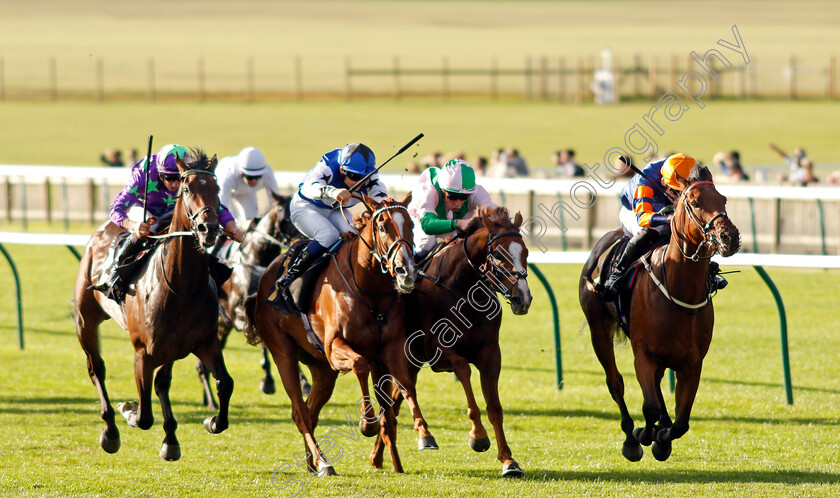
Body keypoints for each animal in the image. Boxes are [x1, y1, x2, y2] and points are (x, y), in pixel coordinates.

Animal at [74, 150, 233, 462]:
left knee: (162, 381)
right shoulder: (142, 352)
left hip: (170, 348)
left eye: (217, 189)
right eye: (187, 189)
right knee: (96, 369)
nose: (209, 229)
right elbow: (144, 415)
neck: (182, 286)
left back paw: (170, 438)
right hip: (85, 321)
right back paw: (110, 431)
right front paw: (129, 409)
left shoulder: (204, 343)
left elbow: (224, 383)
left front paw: (211, 422)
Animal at [197, 191, 298, 408]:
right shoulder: (238, 314)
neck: (254, 261)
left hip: (220, 328)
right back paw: (211, 402)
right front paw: (268, 381)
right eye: (283, 216)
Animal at [243, 194, 434, 474]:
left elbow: (406, 384)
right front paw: (367, 423)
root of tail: (264, 280)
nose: (407, 270)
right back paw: (323, 462)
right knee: (299, 412)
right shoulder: (335, 347)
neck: (369, 288)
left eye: (410, 224)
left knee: (310, 412)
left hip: (322, 370)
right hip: (283, 353)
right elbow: (360, 364)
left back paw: (313, 462)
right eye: (382, 226)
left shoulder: (391, 346)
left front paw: (424, 434)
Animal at [372, 205, 532, 474]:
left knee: (395, 399)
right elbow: (463, 369)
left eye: (526, 253)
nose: (523, 299)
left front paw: (509, 460)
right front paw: (478, 436)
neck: (465, 293)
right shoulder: (438, 352)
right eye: (499, 256)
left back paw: (379, 455)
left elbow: (495, 407)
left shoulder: (491, 354)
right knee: (397, 396)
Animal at [576, 165, 740, 462]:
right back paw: (632, 435)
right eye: (694, 202)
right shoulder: (643, 353)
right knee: (615, 382)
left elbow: (682, 421)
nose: (729, 238)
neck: (680, 290)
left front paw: (662, 438)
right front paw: (642, 436)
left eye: (723, 199)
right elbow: (649, 406)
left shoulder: (692, 363)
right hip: (599, 330)